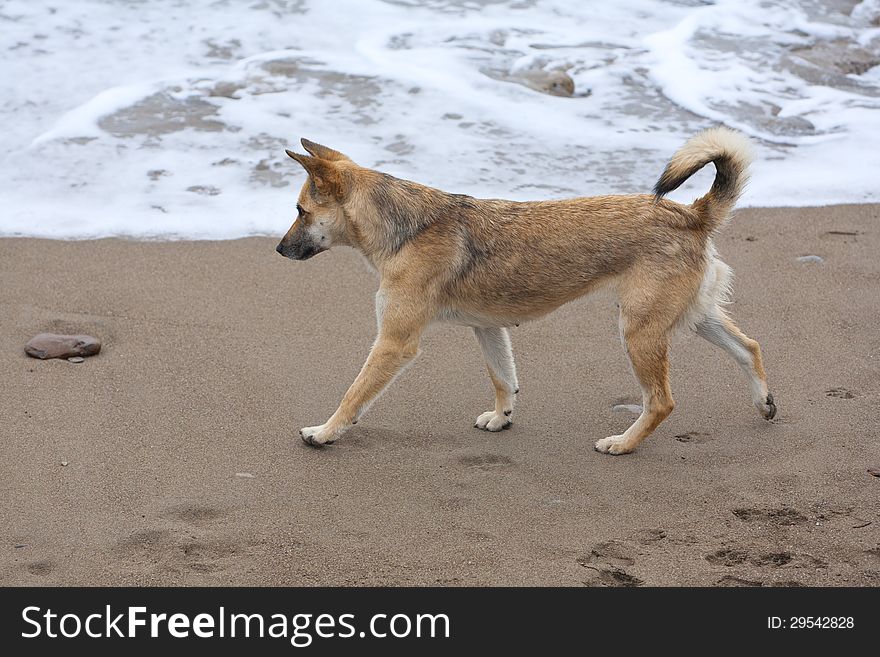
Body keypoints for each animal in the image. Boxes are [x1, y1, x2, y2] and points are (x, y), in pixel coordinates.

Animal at [276, 129, 776, 456]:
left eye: (300, 211)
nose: (278, 249)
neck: (405, 226)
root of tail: (691, 214)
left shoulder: (394, 344)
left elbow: (353, 395)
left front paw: (324, 432)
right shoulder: (488, 329)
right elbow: (504, 379)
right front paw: (501, 418)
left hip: (640, 331)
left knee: (662, 401)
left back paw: (623, 443)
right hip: (692, 318)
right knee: (749, 347)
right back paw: (763, 402)